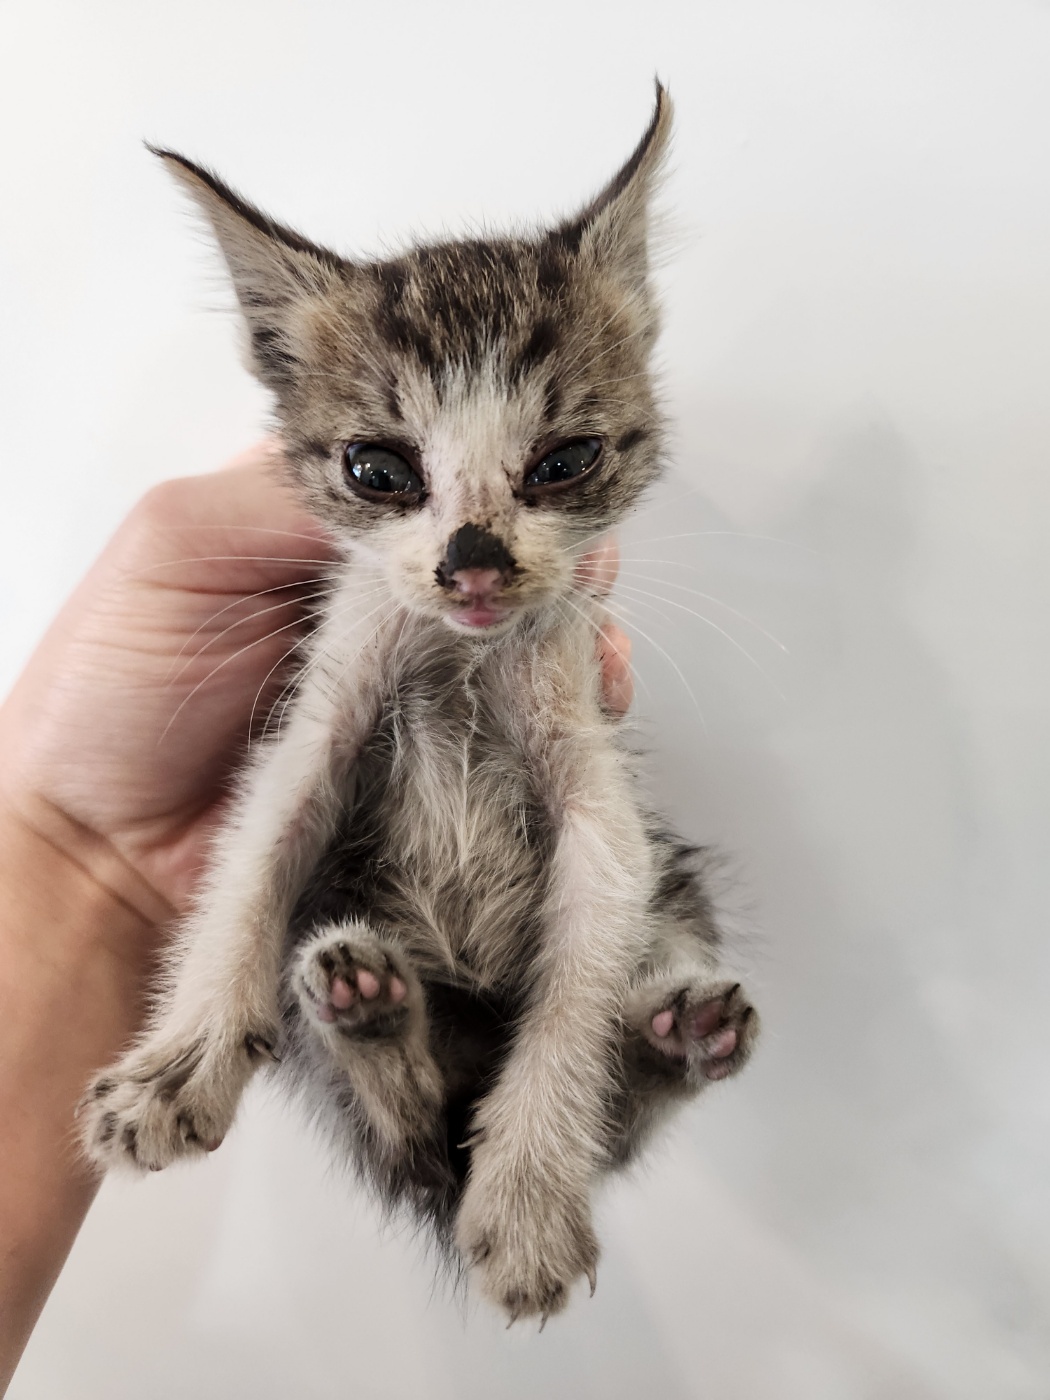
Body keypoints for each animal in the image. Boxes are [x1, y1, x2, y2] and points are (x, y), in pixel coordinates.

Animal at [80, 87, 756, 1321]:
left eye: (565, 460)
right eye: (378, 469)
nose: (473, 562)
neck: (458, 662)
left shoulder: (600, 802)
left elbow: (575, 1001)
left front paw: (530, 1196)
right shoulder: (314, 734)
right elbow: (248, 872)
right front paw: (180, 1060)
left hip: (679, 892)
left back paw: (680, 1038)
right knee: (406, 1127)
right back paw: (369, 1010)